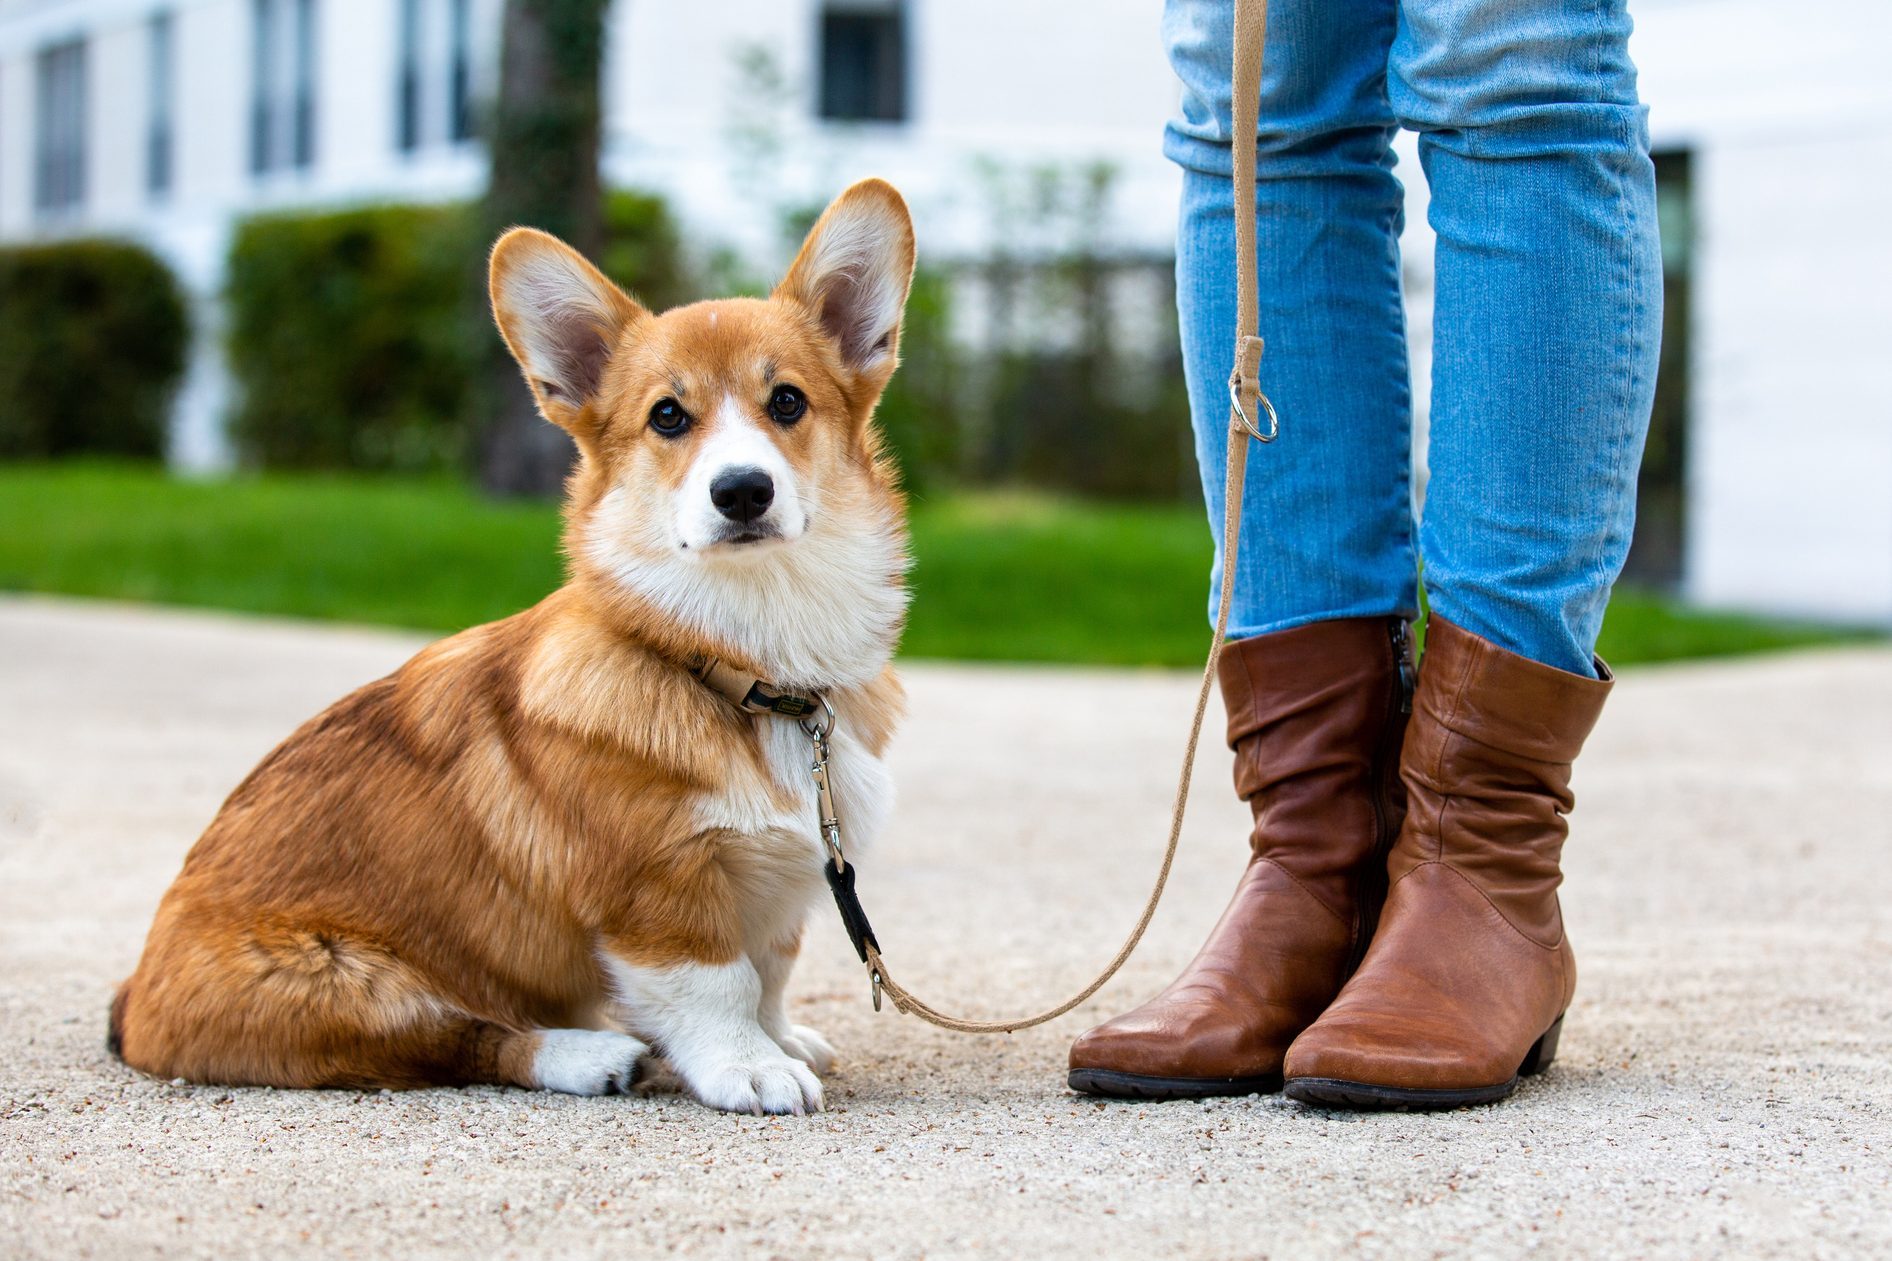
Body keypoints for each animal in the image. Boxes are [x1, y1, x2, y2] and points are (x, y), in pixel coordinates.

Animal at [107, 174, 919, 1113]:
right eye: (667, 416)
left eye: (787, 400)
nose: (743, 491)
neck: (745, 661)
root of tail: (136, 998)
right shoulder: (656, 892)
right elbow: (717, 984)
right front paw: (748, 1064)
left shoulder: (785, 886)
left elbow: (773, 969)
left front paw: (781, 1036)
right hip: (345, 981)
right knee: (461, 1037)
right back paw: (588, 1054)